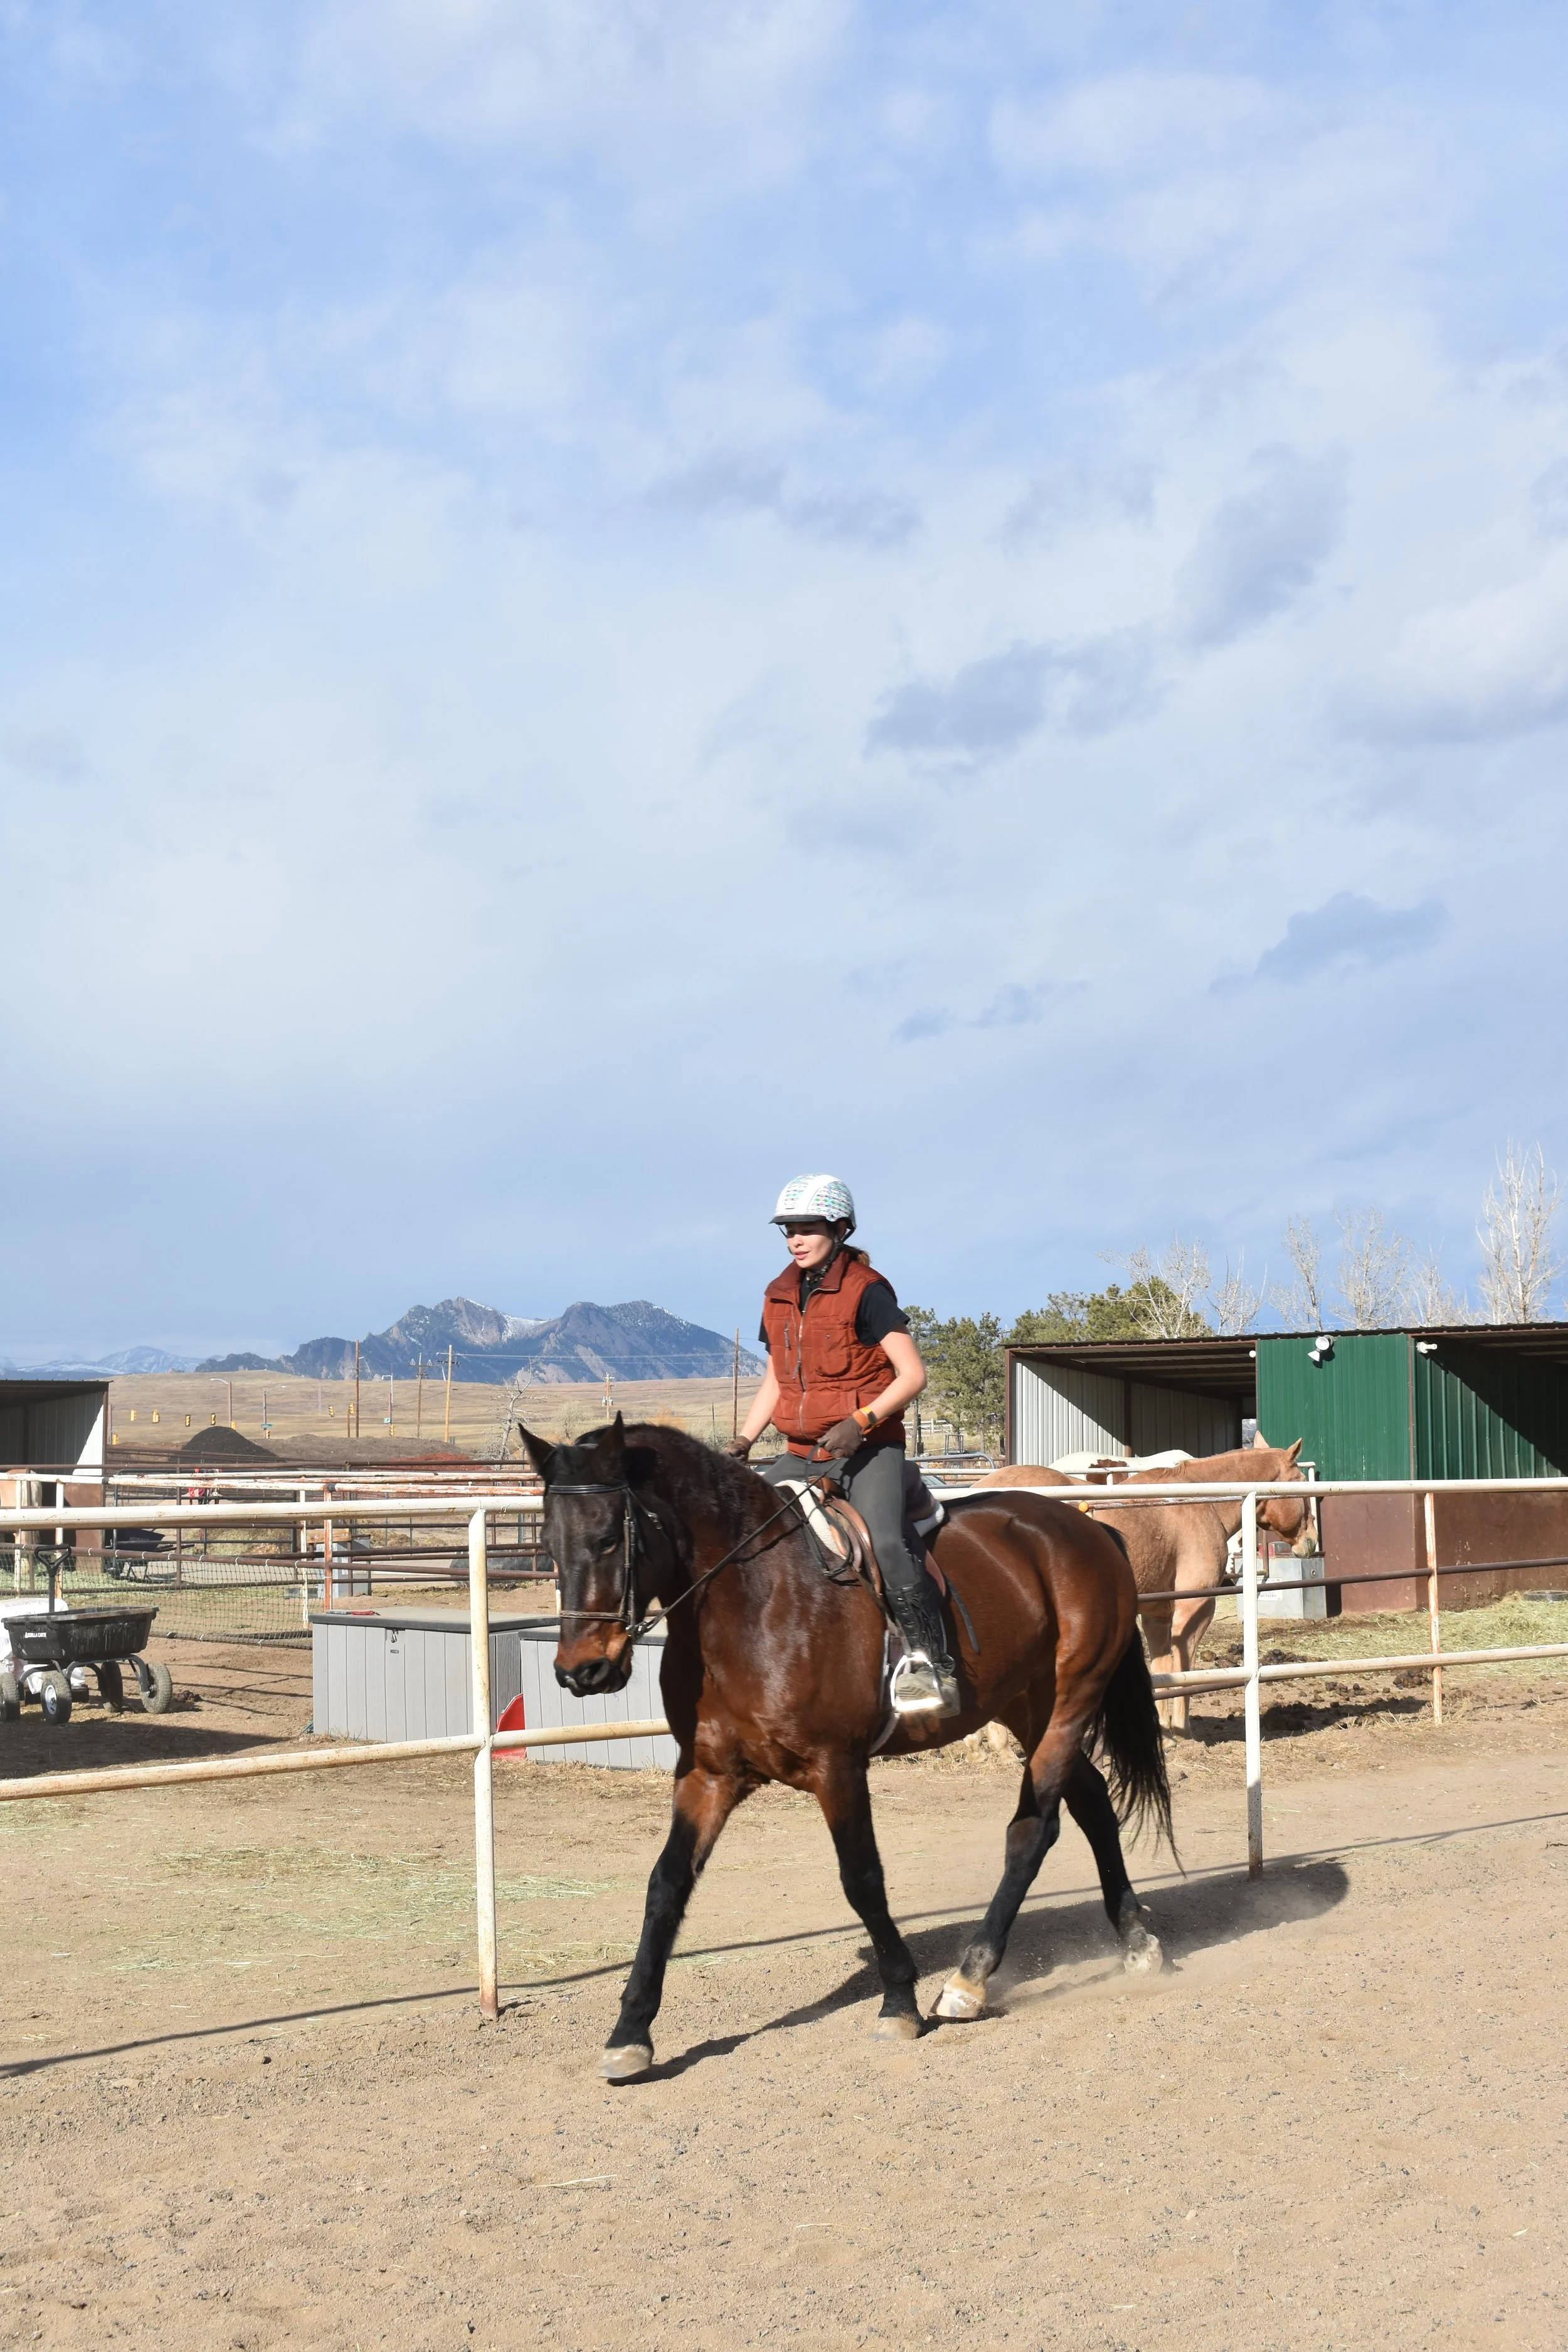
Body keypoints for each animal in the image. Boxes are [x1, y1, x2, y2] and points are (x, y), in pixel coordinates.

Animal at [522, 1416, 1175, 2081]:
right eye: (548, 1542)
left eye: (608, 1539)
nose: (582, 1672)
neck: (750, 1600)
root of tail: (1088, 1528)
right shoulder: (708, 1773)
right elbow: (667, 1884)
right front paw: (631, 2032)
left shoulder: (835, 1767)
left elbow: (861, 1879)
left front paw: (899, 2002)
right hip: (1027, 1706)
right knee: (1092, 1803)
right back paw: (1136, 1942)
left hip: (1072, 1698)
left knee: (1034, 1829)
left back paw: (968, 1981)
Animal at [980, 1436, 1313, 1731]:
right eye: (1299, 1483)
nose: (1310, 1542)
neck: (1202, 1501)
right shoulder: (1195, 1606)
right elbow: (1184, 1665)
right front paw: (1182, 1731)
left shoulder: (1157, 1614)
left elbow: (1163, 1669)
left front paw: (1164, 1731)